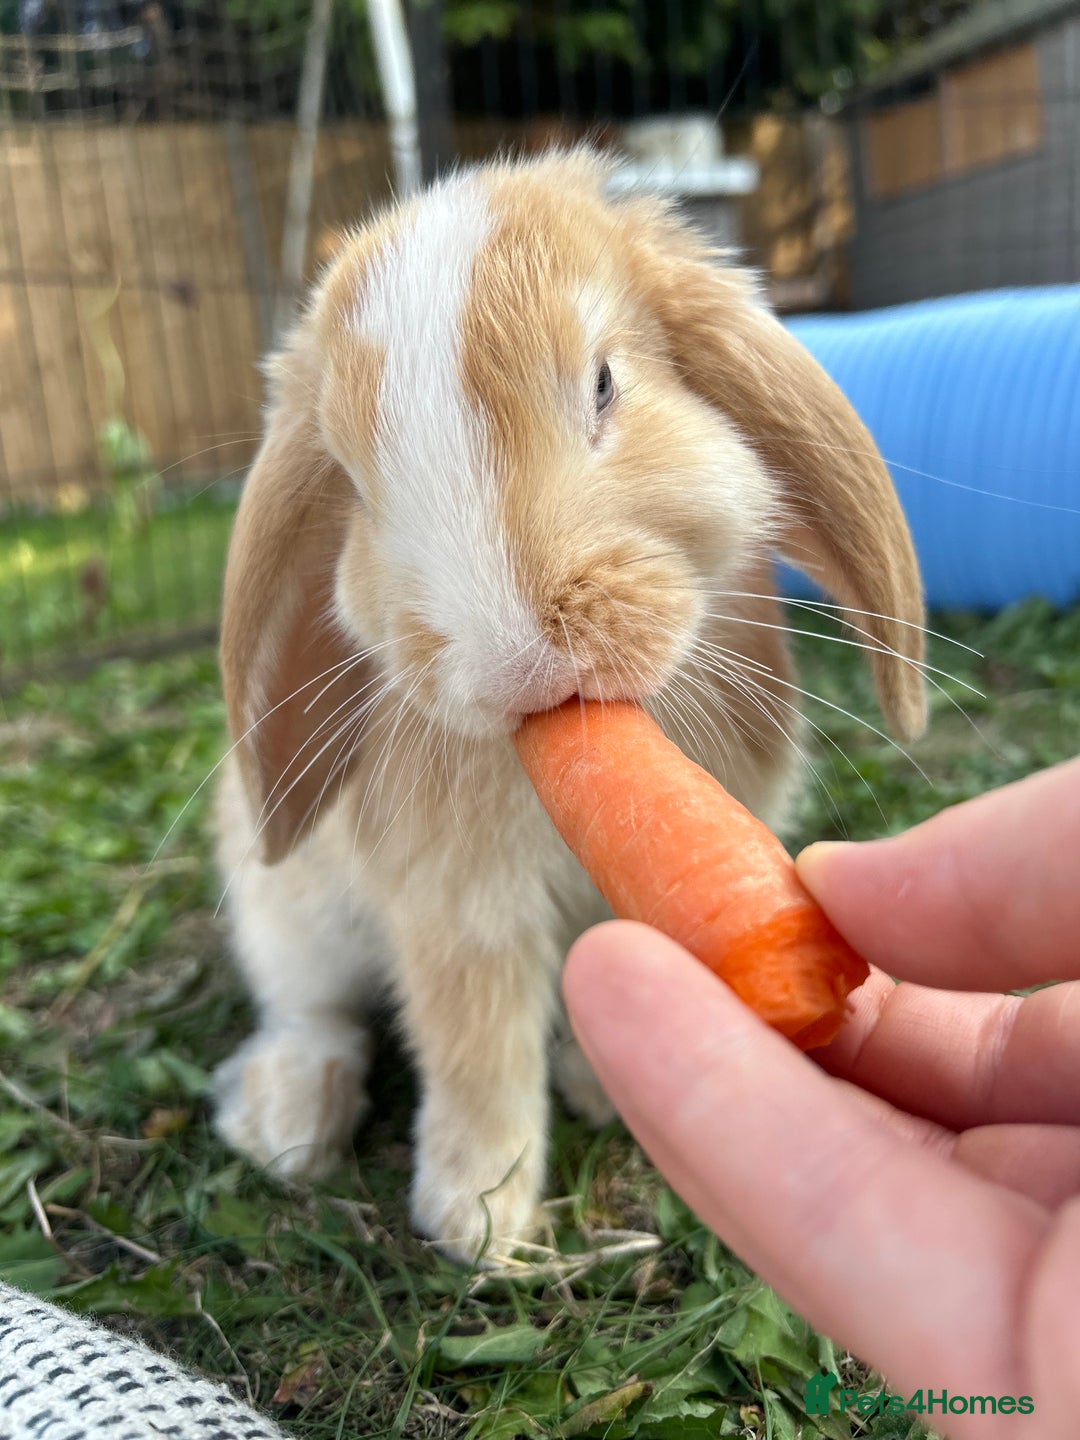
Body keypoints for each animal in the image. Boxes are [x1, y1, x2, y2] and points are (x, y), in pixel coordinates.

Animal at [212, 149, 927, 1263]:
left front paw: (600, 1087)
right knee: (314, 1012)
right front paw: (479, 1220)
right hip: (280, 913)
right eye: (355, 486)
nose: (512, 662)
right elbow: (476, 1044)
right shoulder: (461, 909)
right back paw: (291, 1120)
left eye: (603, 384)